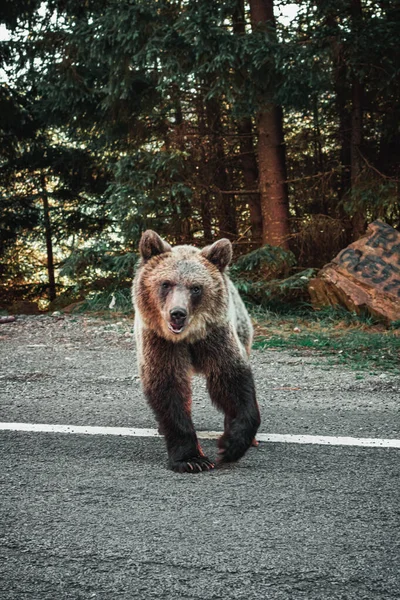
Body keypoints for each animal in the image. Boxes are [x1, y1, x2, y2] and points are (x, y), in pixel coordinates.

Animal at [133, 231, 260, 474]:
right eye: (166, 283)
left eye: (196, 288)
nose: (177, 313)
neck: (187, 337)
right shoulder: (160, 343)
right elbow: (168, 388)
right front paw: (192, 459)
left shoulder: (215, 337)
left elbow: (233, 381)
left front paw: (231, 445)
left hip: (242, 327)